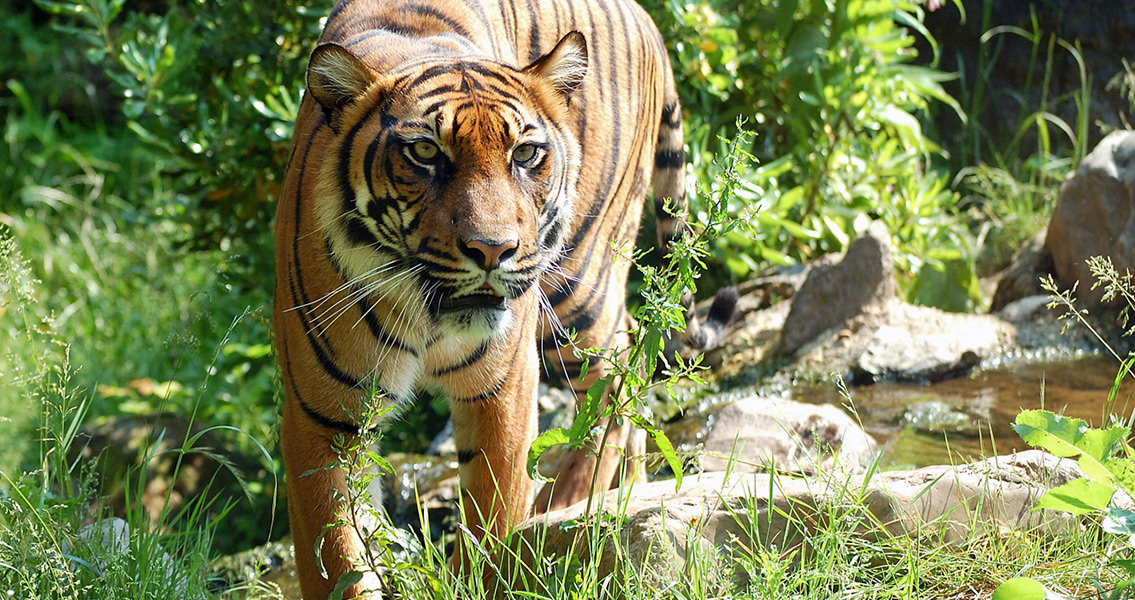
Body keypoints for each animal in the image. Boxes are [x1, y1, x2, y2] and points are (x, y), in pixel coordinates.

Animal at [272, 0, 717, 597]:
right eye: (424, 152)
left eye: (525, 154)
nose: (493, 249)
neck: (427, 315)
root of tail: (647, 21)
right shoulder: (320, 416)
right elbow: (338, 556)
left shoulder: (502, 389)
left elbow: (493, 516)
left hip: (578, 286)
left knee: (614, 379)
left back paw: (571, 504)